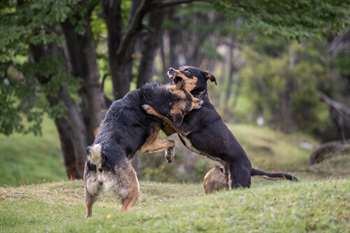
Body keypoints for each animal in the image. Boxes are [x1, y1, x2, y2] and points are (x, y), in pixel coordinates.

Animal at [83, 82, 201, 217]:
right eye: (190, 101)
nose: (201, 101)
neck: (160, 97)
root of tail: (100, 157)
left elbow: (170, 142)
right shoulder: (148, 146)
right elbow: (171, 142)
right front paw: (169, 155)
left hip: (90, 193)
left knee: (88, 211)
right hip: (133, 188)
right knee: (123, 210)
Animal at [142, 66, 298, 189]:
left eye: (187, 70)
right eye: (179, 67)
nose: (170, 69)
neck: (197, 99)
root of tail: (250, 168)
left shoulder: (183, 126)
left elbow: (164, 115)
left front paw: (149, 107)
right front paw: (168, 155)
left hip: (237, 183)